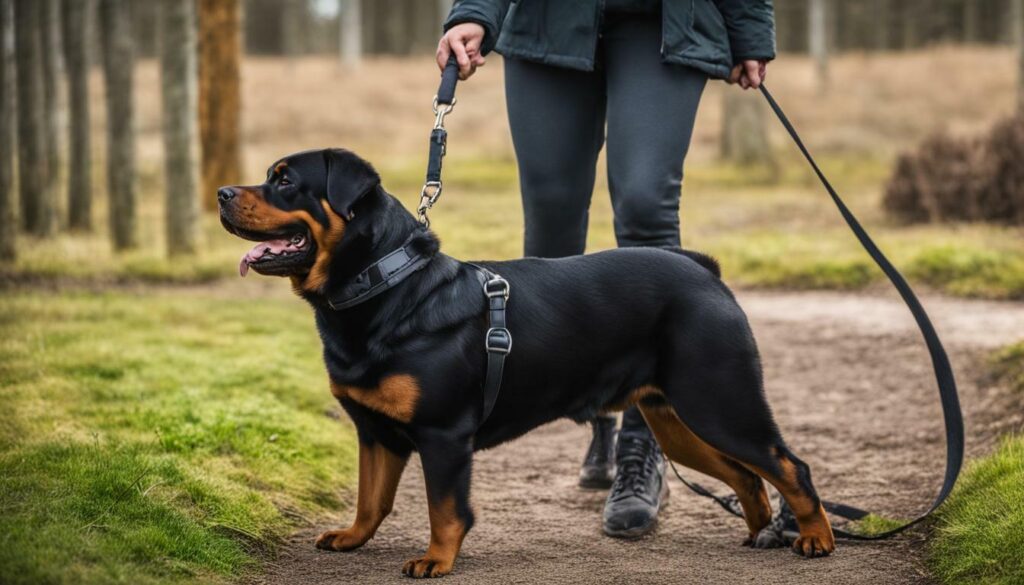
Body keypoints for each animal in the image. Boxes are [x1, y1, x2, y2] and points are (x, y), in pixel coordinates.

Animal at [220, 148, 835, 577]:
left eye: (285, 181)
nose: (224, 192)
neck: (386, 285)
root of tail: (706, 271)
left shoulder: (443, 435)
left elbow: (446, 508)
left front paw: (436, 560)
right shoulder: (376, 434)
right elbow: (371, 499)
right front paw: (352, 537)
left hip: (719, 402)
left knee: (789, 466)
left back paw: (816, 539)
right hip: (678, 420)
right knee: (747, 474)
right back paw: (760, 533)